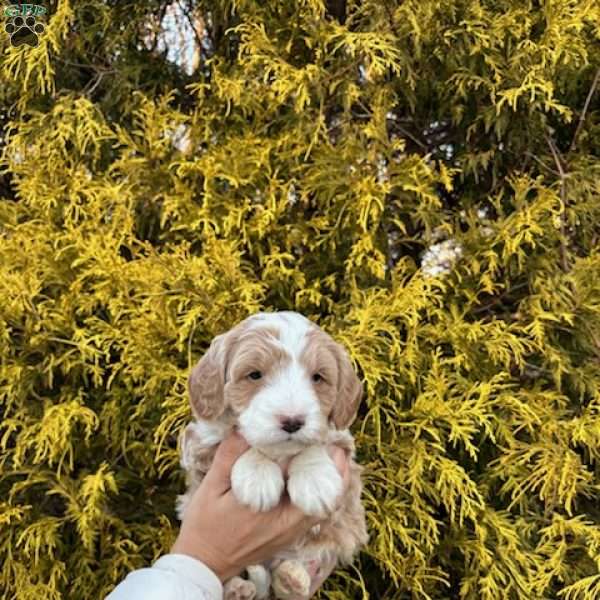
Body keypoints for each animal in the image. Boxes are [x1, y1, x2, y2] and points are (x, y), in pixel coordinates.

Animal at [176, 312, 368, 596]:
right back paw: (238, 590)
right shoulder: (198, 443)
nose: (292, 421)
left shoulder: (344, 441)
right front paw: (257, 478)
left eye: (317, 377)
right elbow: (243, 442)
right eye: (254, 375)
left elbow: (316, 443)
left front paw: (315, 482)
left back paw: (291, 578)